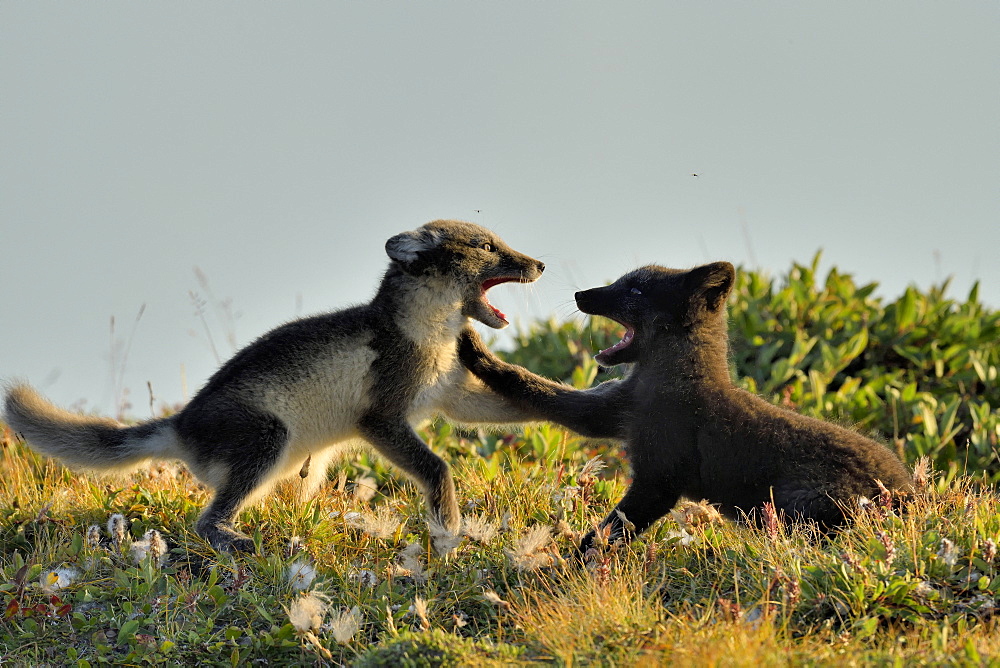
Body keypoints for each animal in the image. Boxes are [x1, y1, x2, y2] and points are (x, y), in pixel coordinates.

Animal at [1, 219, 548, 552]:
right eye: (485, 246)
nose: (540, 263)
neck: (426, 332)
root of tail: (180, 423)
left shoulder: (450, 393)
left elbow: (510, 404)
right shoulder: (380, 417)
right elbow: (436, 466)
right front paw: (448, 528)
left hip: (304, 462)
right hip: (268, 436)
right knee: (206, 521)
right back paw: (232, 538)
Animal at [460, 260, 916, 552]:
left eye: (635, 290)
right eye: (623, 281)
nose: (579, 293)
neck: (668, 380)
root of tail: (910, 492)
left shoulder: (659, 479)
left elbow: (606, 534)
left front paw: (567, 572)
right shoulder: (612, 412)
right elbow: (533, 387)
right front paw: (475, 352)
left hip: (805, 505)